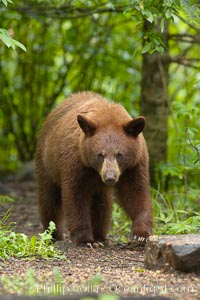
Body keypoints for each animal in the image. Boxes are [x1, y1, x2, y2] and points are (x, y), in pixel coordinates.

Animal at [35, 91, 152, 246]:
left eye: (119, 155)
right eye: (100, 155)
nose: (110, 177)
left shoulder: (135, 164)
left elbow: (135, 192)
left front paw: (141, 234)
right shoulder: (75, 161)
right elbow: (75, 196)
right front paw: (85, 240)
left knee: (102, 204)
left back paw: (100, 236)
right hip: (47, 164)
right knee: (49, 199)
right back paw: (53, 234)